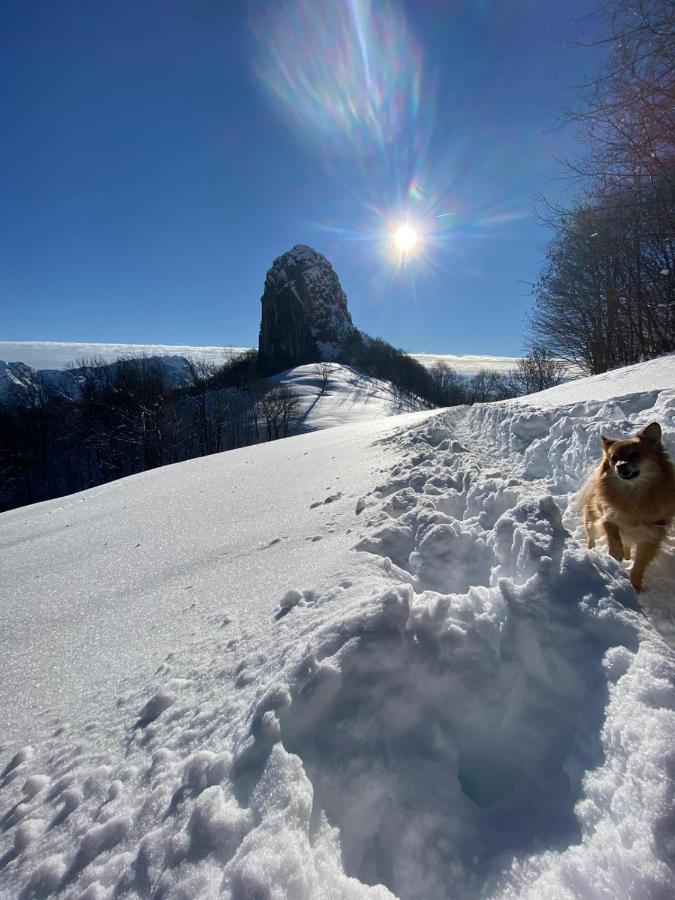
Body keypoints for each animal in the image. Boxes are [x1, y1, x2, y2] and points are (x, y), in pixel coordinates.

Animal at [584, 422, 672, 592]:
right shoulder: (606, 514)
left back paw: (627, 556)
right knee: (591, 534)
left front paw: (636, 586)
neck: (633, 496)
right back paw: (591, 550)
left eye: (635, 455)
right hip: (590, 520)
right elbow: (611, 530)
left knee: (628, 546)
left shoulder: (652, 536)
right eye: (614, 459)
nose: (620, 466)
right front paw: (615, 553)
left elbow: (639, 565)